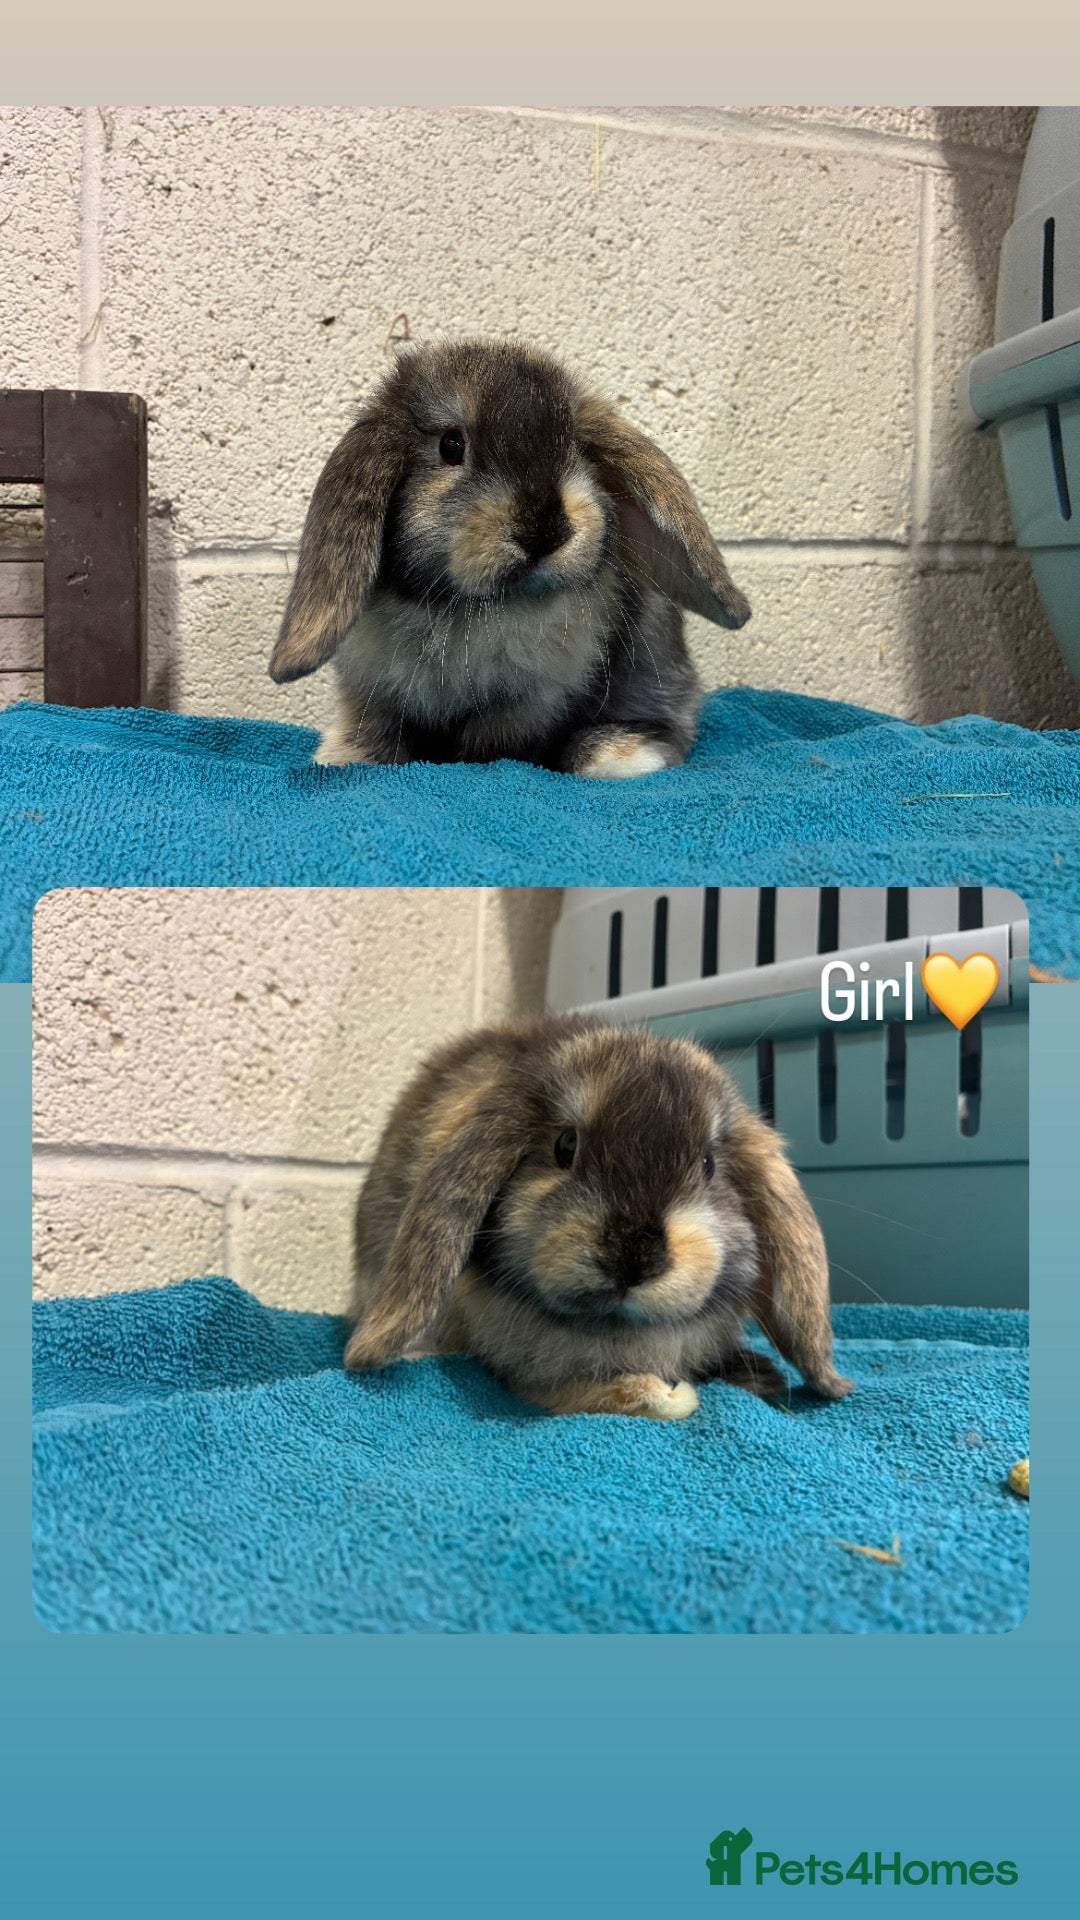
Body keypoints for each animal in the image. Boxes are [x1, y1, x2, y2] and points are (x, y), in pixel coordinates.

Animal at [268, 337, 751, 779]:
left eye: (576, 448)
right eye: (451, 446)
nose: (544, 530)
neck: (467, 609)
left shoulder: (530, 700)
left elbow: (493, 743)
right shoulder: (375, 689)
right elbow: (375, 729)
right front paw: (344, 759)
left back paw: (621, 755)